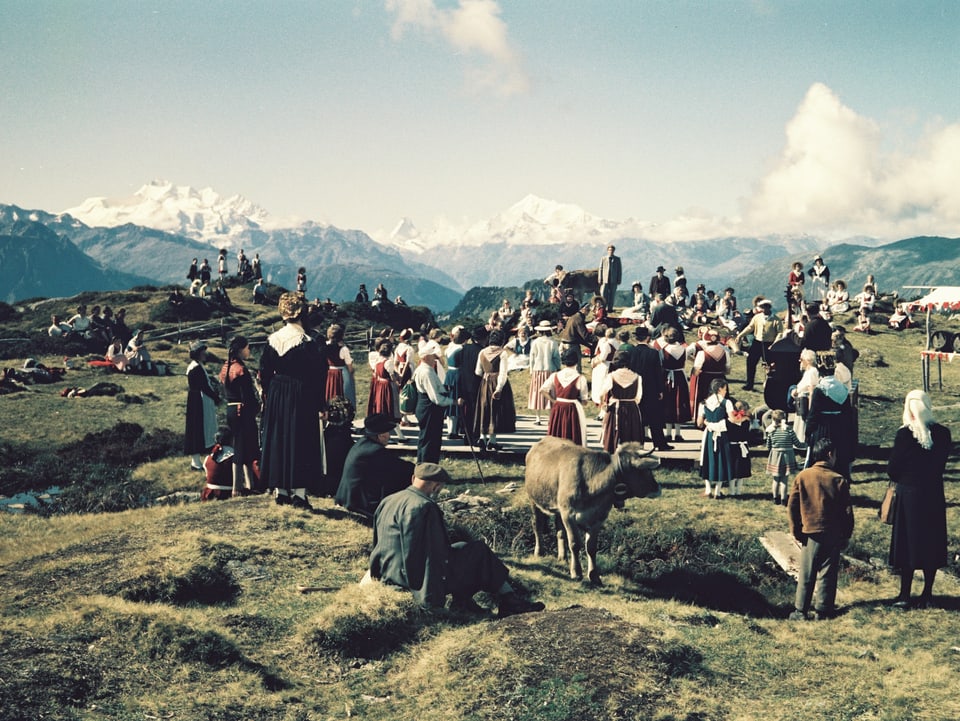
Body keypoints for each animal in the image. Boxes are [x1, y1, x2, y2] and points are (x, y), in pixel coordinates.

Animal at [524, 434, 660, 584]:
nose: (658, 488)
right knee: (537, 525)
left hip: (558, 508)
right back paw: (539, 552)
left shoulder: (597, 518)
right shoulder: (568, 515)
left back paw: (562, 557)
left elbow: (591, 548)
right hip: (533, 500)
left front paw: (594, 575)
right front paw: (576, 572)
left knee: (560, 532)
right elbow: (575, 543)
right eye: (646, 470)